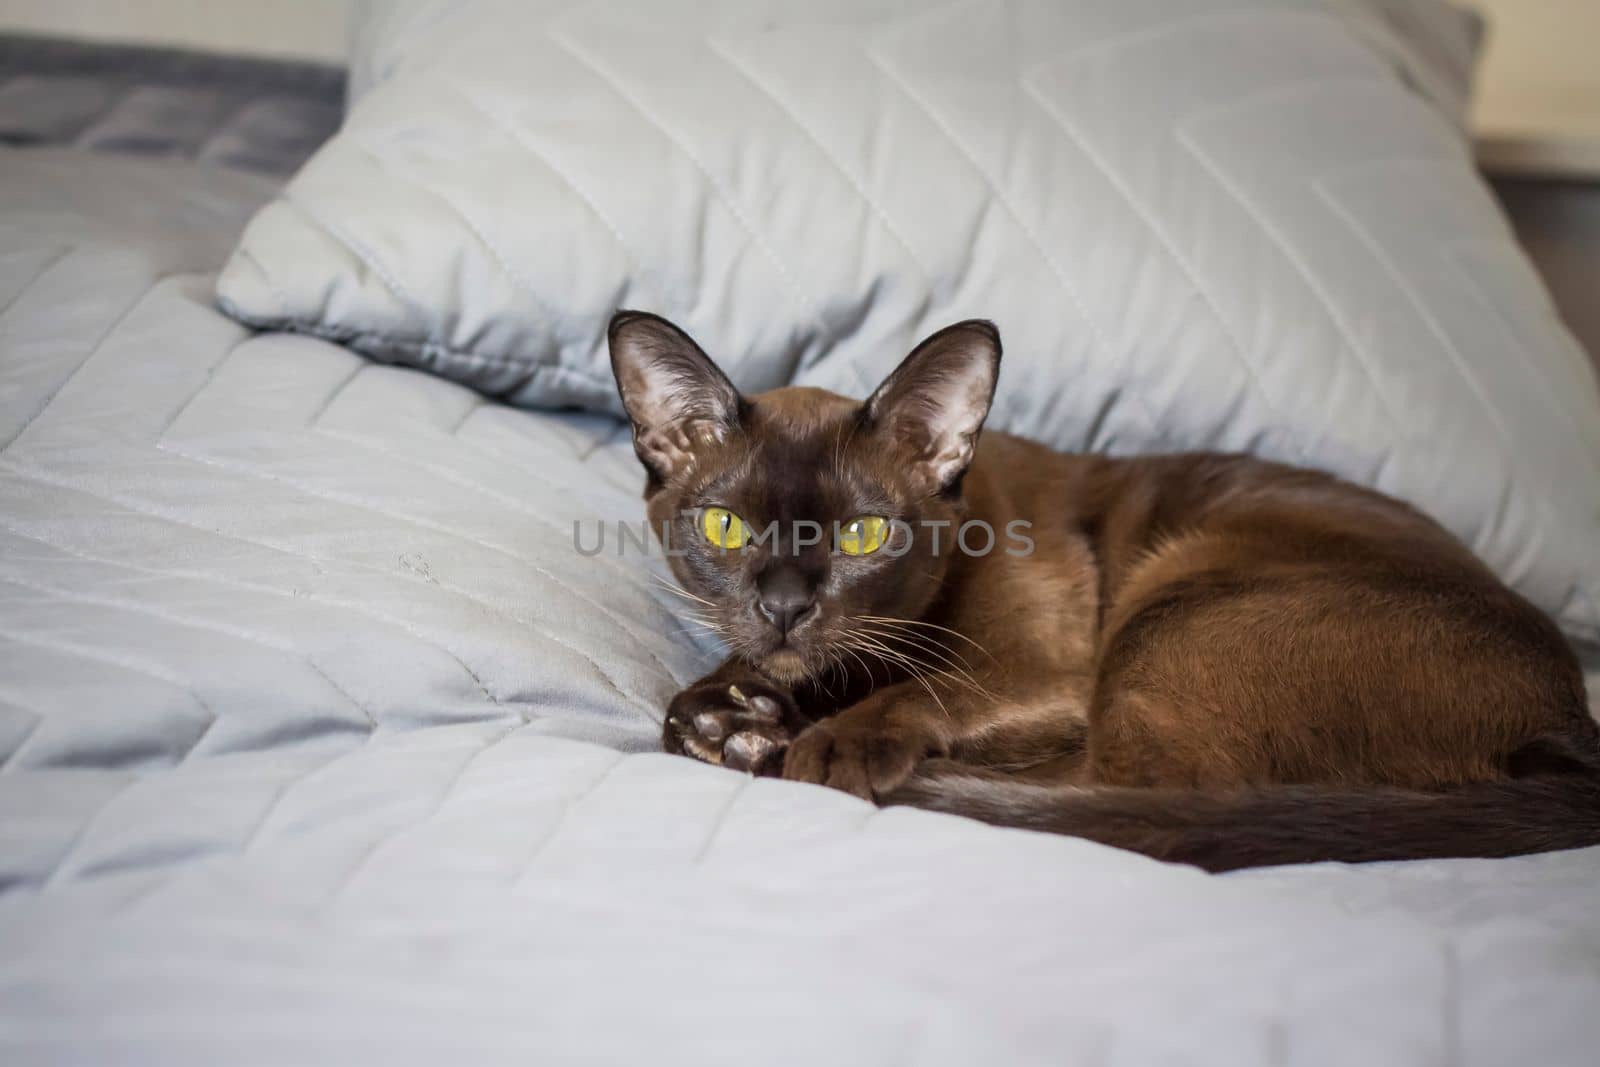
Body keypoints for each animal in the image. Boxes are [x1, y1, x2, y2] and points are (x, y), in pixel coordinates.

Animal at [604, 310, 1600, 876]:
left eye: (862, 535)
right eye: (725, 527)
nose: (783, 607)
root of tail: (1573, 720)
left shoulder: (1049, 671)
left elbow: (923, 688)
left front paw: (795, 739)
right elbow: (701, 697)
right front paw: (726, 715)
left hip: (1173, 603)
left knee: (1145, 798)